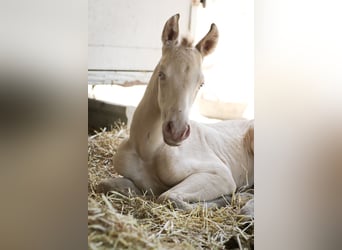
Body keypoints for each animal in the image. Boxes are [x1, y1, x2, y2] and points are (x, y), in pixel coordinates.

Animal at [96, 13, 254, 213]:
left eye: (201, 83)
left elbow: (168, 197)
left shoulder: (220, 174)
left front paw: (227, 199)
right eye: (161, 74)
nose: (177, 132)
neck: (148, 151)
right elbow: (104, 184)